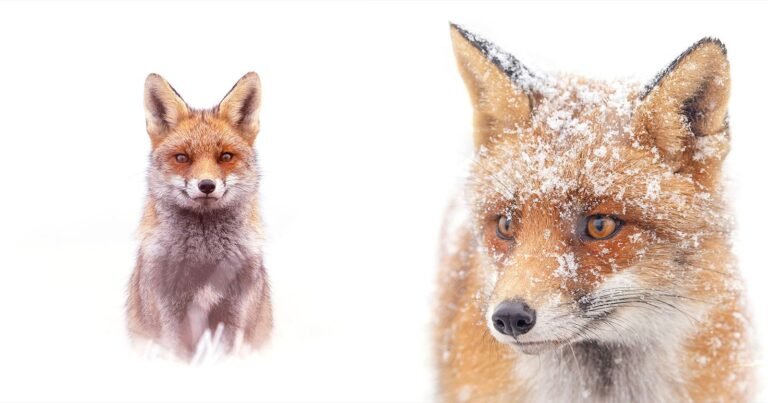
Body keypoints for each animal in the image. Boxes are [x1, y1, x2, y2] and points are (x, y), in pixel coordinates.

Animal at [126, 72, 272, 359]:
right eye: (182, 157)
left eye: (225, 156)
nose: (206, 185)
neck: (205, 260)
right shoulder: (168, 317)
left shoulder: (237, 315)